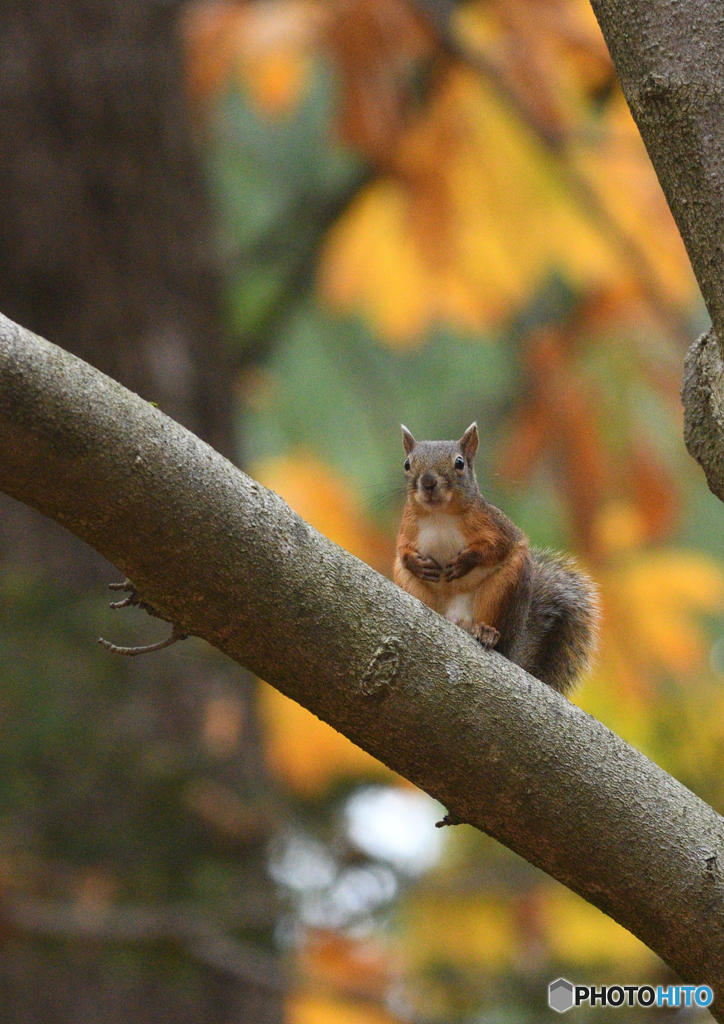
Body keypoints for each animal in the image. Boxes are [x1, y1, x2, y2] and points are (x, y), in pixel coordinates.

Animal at [393, 419, 602, 692]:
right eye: (407, 464)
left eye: (459, 462)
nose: (428, 482)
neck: (439, 514)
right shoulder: (407, 527)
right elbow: (401, 550)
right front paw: (416, 563)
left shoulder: (496, 526)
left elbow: (497, 547)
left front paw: (464, 562)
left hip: (504, 588)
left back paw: (488, 633)